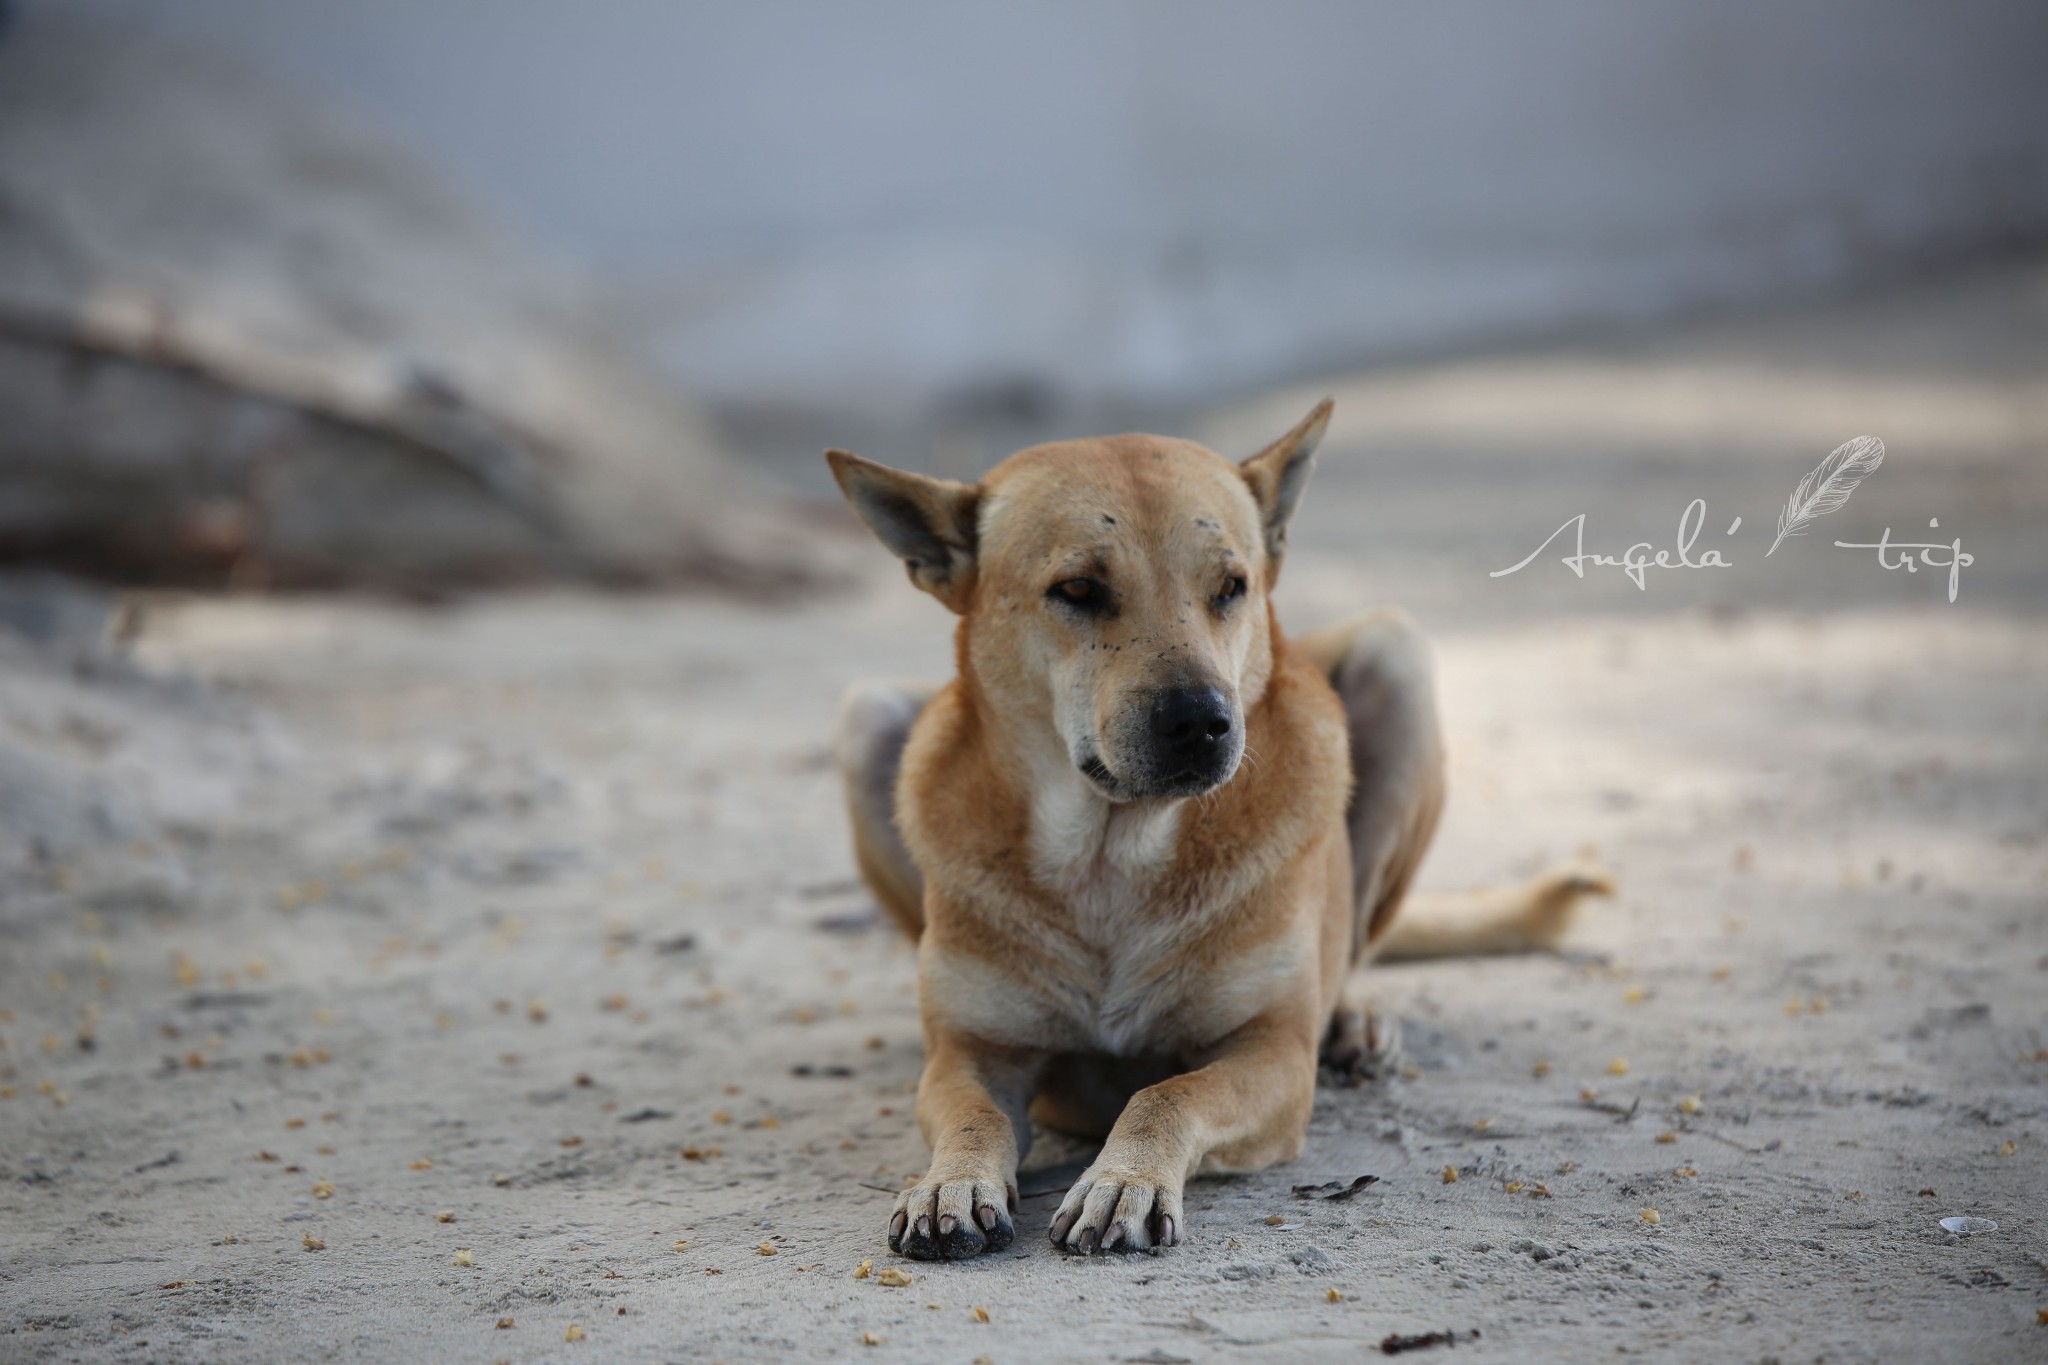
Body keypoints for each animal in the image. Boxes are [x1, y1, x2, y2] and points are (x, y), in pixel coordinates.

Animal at [823, 403, 1605, 1260]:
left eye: (1231, 587)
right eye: (1078, 589)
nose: (1201, 720)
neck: (1111, 855)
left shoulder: (1272, 1056)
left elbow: (1167, 1092)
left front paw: (1125, 1178)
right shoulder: (971, 1053)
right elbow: (974, 1113)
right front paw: (952, 1181)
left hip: (1395, 656)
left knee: (1352, 947)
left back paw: (1352, 1021)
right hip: (864, 717)